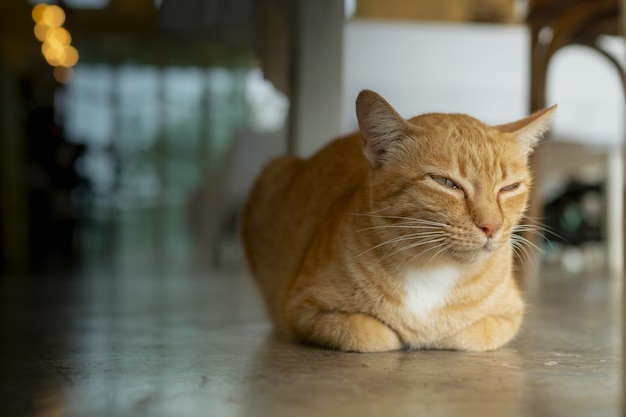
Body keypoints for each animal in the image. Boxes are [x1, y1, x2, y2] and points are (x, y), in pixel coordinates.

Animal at [241, 90, 552, 352]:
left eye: (509, 188)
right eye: (446, 183)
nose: (492, 226)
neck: (433, 270)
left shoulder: (509, 316)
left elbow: (465, 335)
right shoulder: (302, 309)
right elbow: (376, 336)